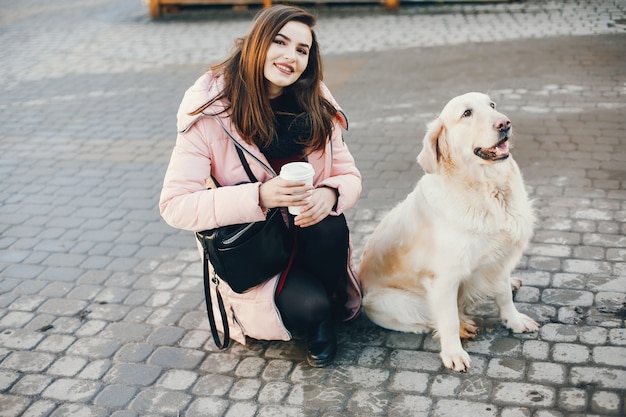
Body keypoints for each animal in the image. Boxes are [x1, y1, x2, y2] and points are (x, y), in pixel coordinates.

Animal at [358, 93, 540, 370]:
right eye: (466, 113)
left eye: (492, 105)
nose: (505, 123)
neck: (487, 189)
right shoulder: (444, 278)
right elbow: (449, 320)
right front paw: (454, 353)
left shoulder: (498, 259)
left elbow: (503, 296)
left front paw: (515, 320)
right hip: (396, 301)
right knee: (429, 320)